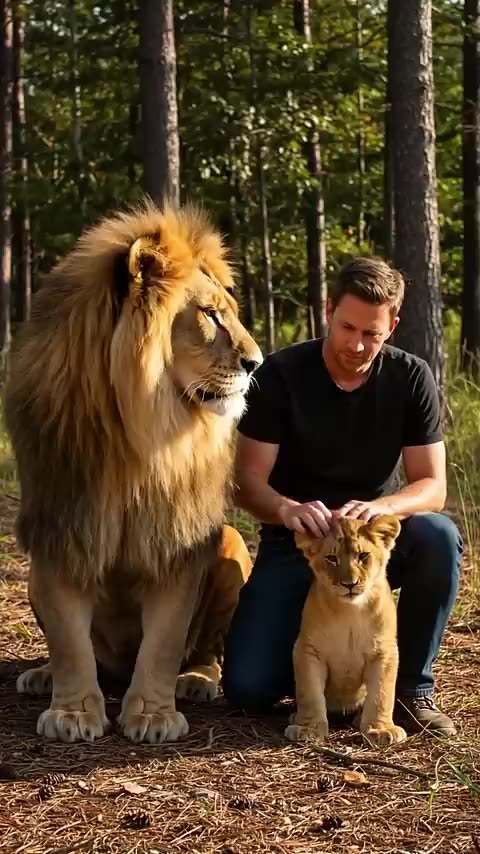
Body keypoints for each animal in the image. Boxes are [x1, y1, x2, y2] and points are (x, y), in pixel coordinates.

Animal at [5, 201, 261, 744]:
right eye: (210, 314)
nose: (256, 362)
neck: (139, 433)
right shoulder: (63, 528)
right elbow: (68, 638)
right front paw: (73, 713)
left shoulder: (177, 538)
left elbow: (164, 640)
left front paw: (153, 715)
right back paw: (43, 676)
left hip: (229, 542)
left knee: (204, 651)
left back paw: (196, 680)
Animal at [285, 515, 407, 747]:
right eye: (332, 558)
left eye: (363, 555)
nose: (349, 584)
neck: (350, 611)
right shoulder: (307, 649)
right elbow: (309, 692)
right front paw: (308, 729)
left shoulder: (385, 650)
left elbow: (381, 693)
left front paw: (380, 729)